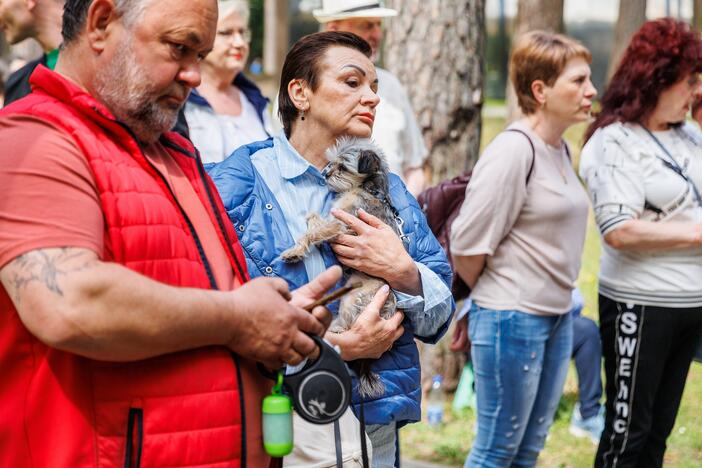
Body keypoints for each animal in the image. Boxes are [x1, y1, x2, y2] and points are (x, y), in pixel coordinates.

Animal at [280, 138, 402, 398]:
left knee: (348, 326)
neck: (366, 188)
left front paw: (296, 251)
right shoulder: (337, 218)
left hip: (354, 300)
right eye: (330, 162)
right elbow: (315, 219)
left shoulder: (343, 222)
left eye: (343, 167)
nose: (325, 173)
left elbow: (314, 231)